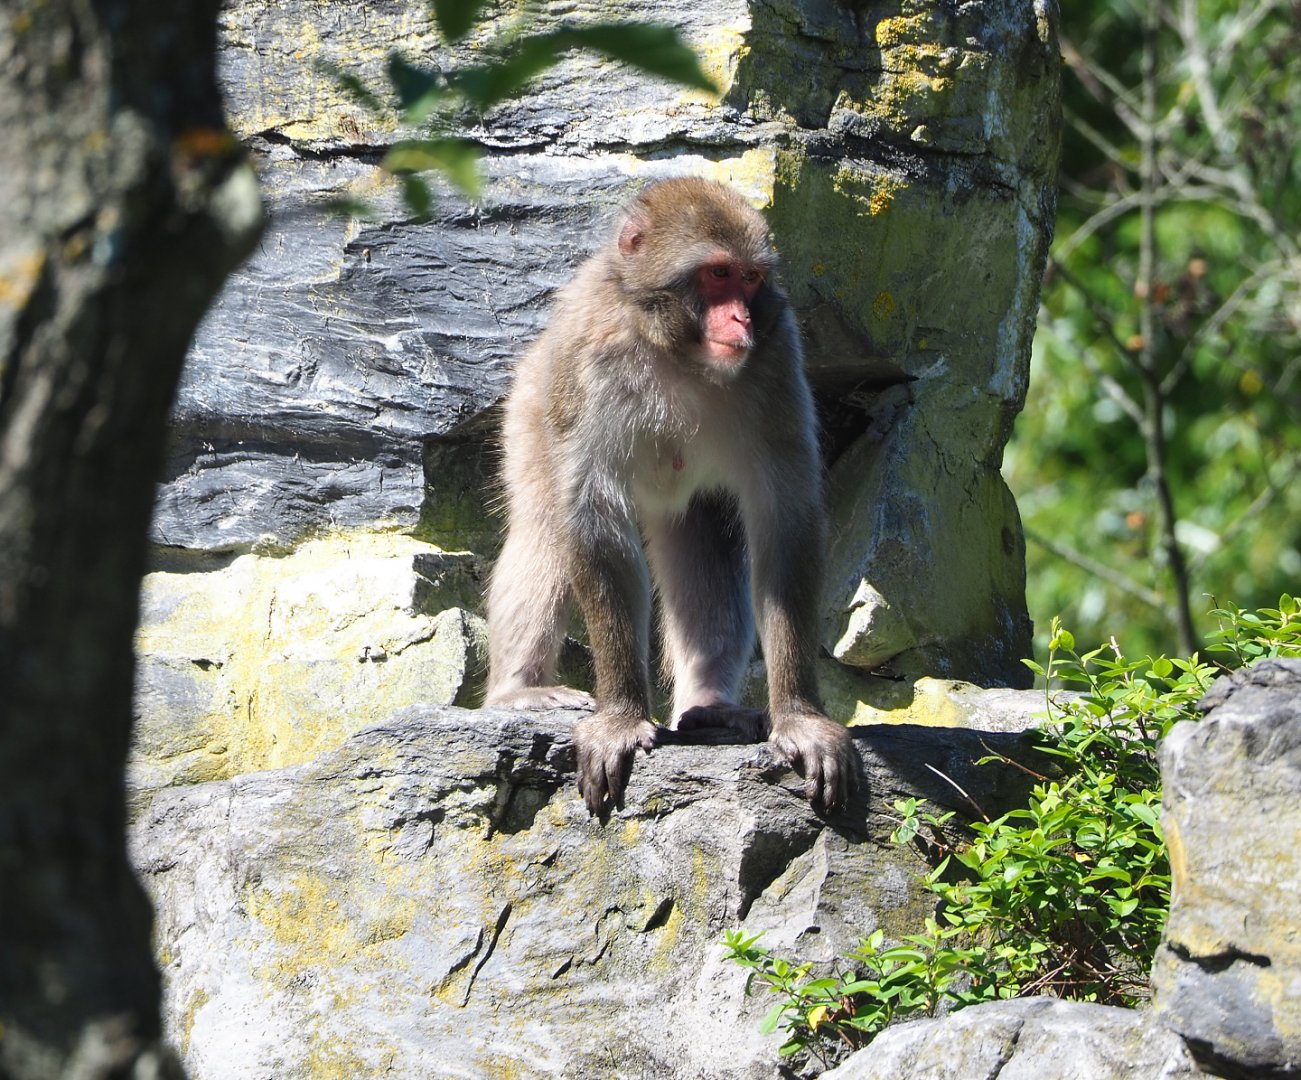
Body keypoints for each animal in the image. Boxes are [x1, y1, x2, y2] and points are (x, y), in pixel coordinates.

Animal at [484, 177, 859, 817]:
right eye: (716, 274)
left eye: (749, 279)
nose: (740, 318)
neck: (675, 351)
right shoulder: (590, 356)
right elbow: (593, 518)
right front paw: (620, 717)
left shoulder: (776, 355)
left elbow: (783, 517)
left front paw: (801, 718)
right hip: (533, 405)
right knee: (546, 528)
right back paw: (517, 692)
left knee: (704, 543)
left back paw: (709, 706)